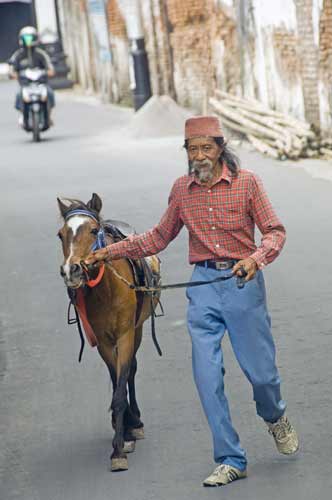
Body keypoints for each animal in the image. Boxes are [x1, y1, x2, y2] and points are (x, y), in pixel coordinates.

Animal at [57, 193, 161, 470]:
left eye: (94, 231)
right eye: (61, 234)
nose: (71, 270)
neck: (107, 289)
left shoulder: (125, 335)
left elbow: (122, 386)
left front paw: (120, 447)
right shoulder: (103, 341)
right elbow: (116, 383)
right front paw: (122, 434)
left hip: (138, 329)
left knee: (132, 370)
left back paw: (135, 421)